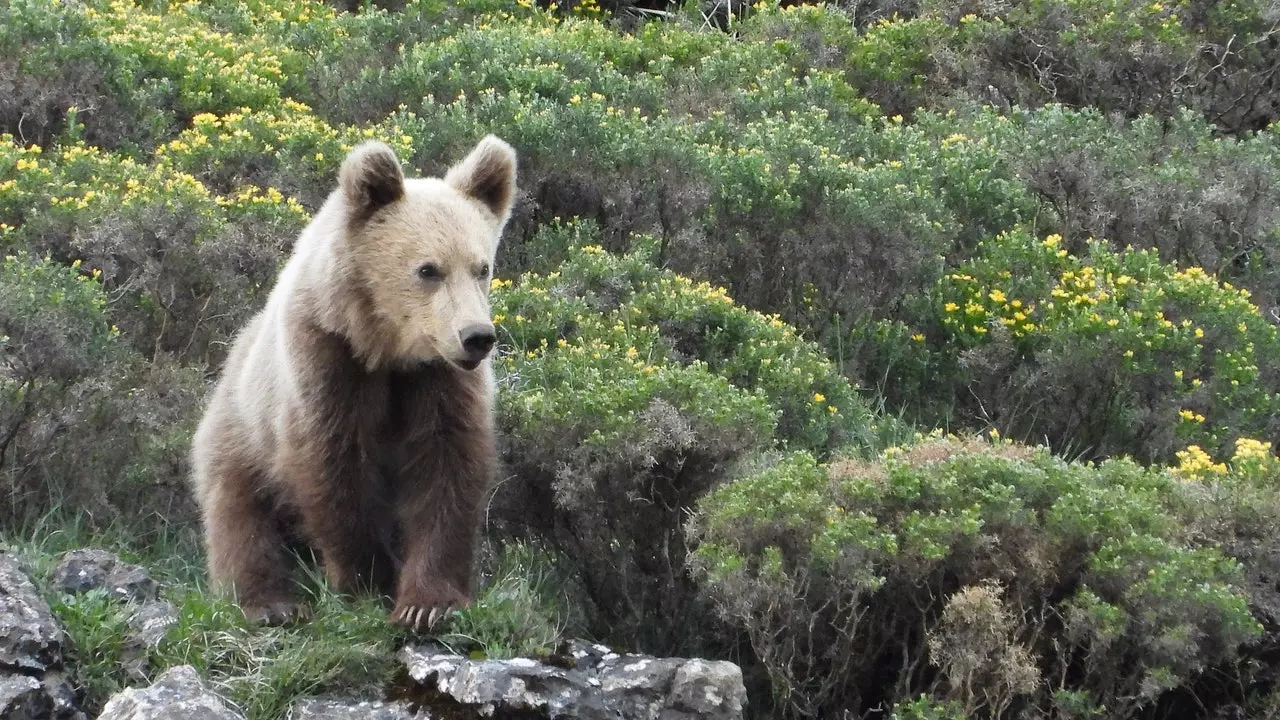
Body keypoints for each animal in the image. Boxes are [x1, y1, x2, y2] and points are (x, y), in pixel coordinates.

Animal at [188, 135, 514, 627]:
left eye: (482, 267)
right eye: (428, 269)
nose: (476, 337)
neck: (386, 350)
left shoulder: (437, 382)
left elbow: (447, 467)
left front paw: (427, 603)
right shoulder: (328, 363)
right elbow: (335, 467)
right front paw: (365, 580)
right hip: (240, 434)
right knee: (239, 518)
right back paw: (269, 604)